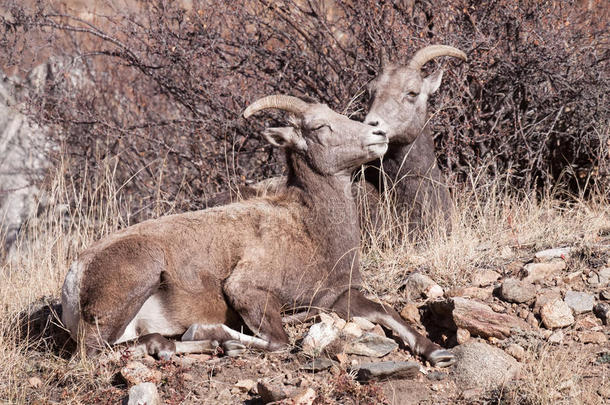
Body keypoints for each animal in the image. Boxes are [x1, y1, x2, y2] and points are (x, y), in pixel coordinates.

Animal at [59, 94, 454, 366]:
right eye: (319, 127)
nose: (378, 134)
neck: (312, 231)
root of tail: (75, 276)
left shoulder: (338, 298)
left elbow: (386, 312)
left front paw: (437, 353)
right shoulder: (247, 291)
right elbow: (279, 341)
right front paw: (222, 336)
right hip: (135, 283)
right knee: (94, 355)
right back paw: (210, 341)